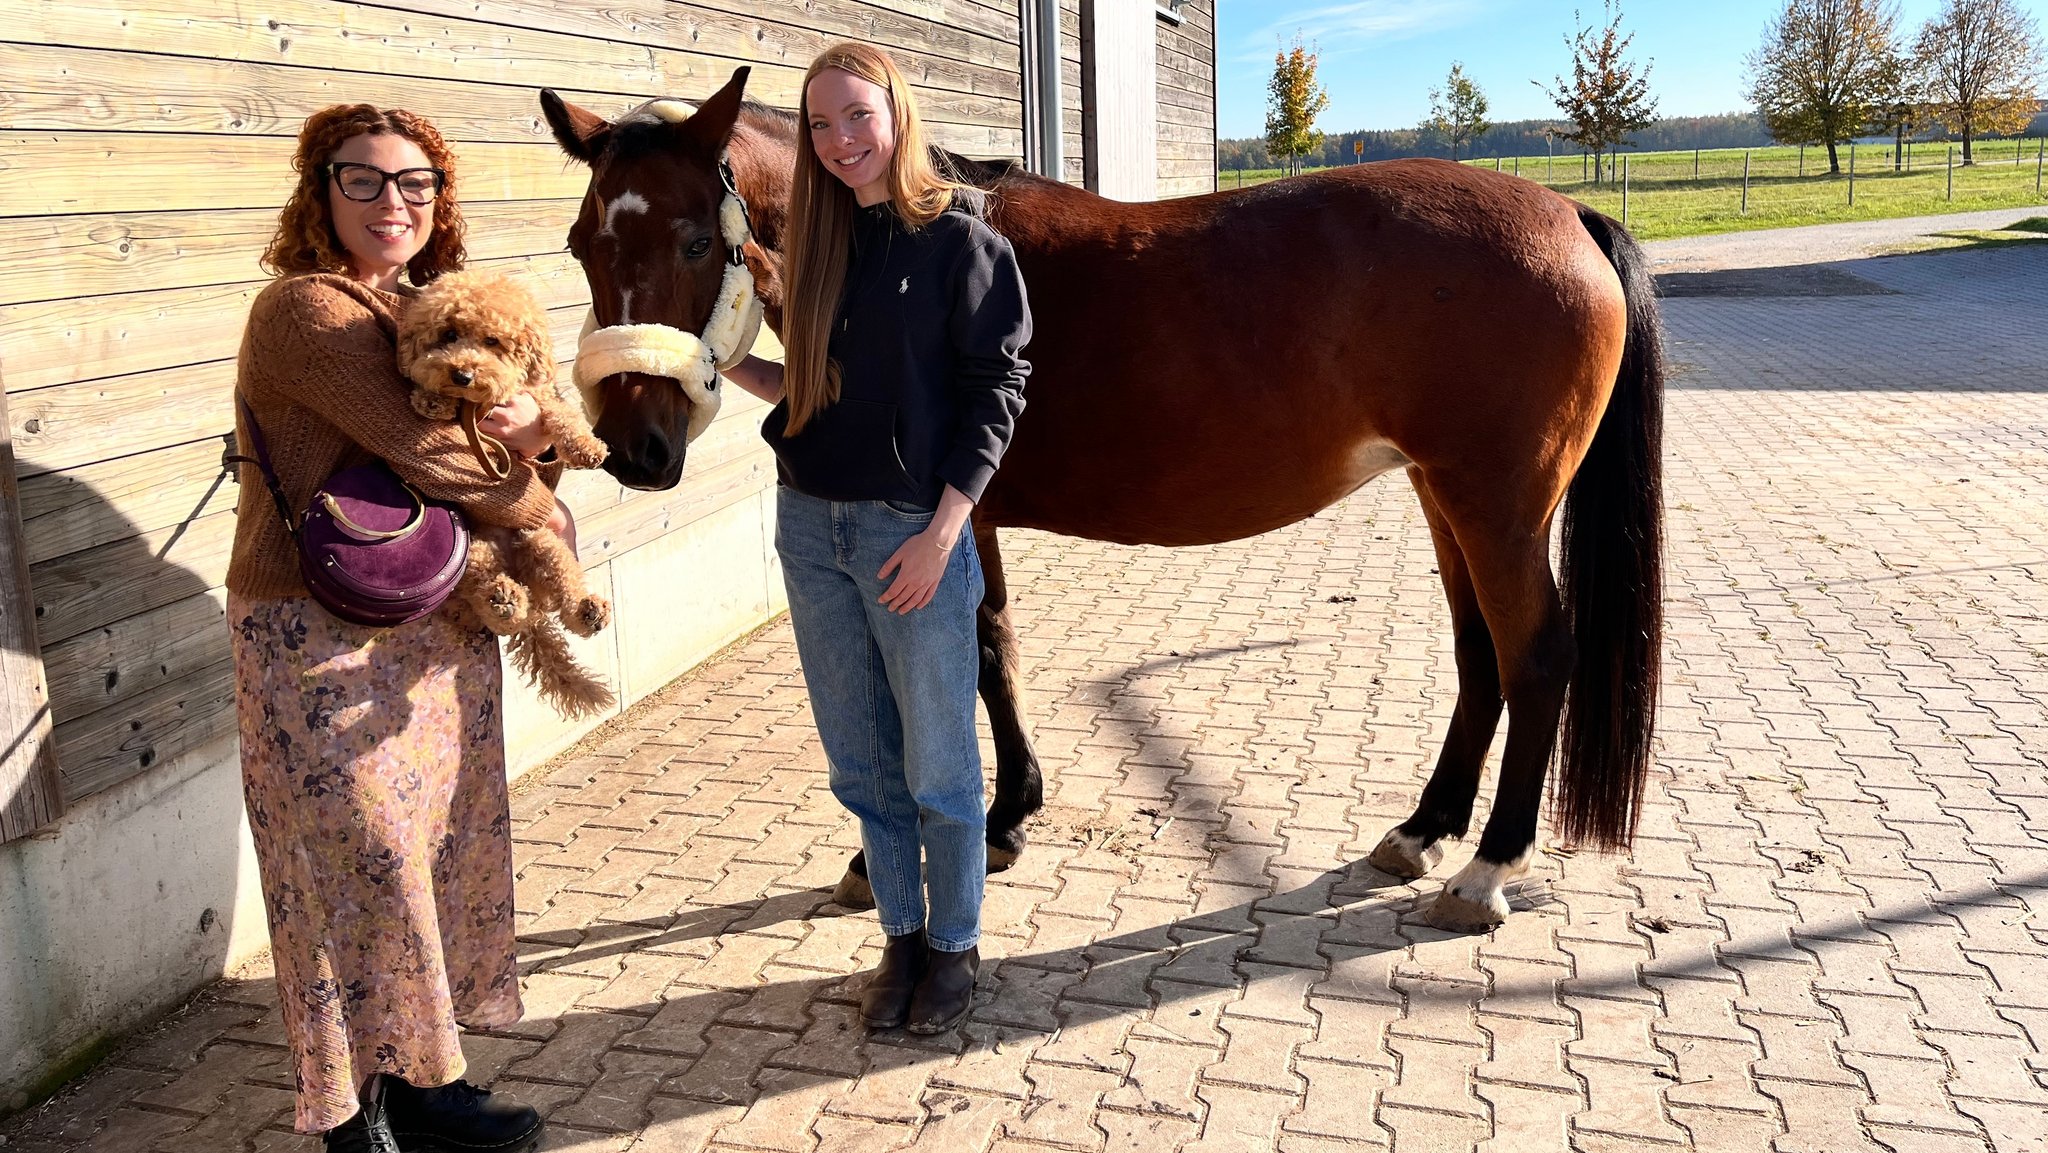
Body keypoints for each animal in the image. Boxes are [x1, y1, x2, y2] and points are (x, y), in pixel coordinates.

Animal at [397, 274, 614, 716]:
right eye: (448, 334)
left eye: (493, 340)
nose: (461, 374)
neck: (479, 405)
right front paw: (432, 398)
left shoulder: (539, 398)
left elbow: (563, 416)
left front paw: (587, 448)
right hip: (473, 554)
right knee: (501, 610)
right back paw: (506, 601)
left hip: (540, 541)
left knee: (564, 589)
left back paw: (585, 611)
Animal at [544, 70, 1662, 937]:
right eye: (579, 243)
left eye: (697, 240)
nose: (635, 450)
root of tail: (1567, 215)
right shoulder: (971, 516)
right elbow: (993, 644)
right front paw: (1008, 811)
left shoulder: (948, 511)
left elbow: (967, 654)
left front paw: (968, 830)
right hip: (1444, 496)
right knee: (1479, 655)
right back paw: (1423, 831)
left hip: (1497, 507)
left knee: (1536, 657)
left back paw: (1487, 869)